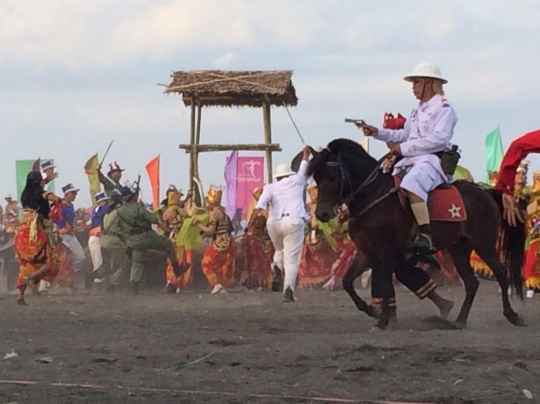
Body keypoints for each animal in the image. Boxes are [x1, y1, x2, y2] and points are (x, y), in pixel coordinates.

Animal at [306, 138, 524, 328]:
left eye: (332, 177)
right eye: (316, 177)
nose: (321, 214)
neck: (373, 196)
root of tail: (485, 192)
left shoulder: (386, 251)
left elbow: (384, 283)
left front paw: (383, 320)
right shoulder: (366, 252)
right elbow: (347, 281)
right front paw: (372, 311)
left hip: (484, 243)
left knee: (501, 273)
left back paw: (512, 315)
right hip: (459, 248)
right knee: (471, 283)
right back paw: (459, 321)